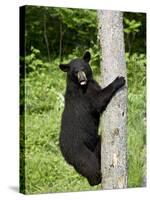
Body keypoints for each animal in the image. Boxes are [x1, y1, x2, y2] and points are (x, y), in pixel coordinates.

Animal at [58, 51, 125, 186]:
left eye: (84, 68)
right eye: (75, 72)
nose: (82, 79)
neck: (82, 86)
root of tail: (63, 153)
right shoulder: (84, 96)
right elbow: (98, 100)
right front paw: (119, 80)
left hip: (91, 144)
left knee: (97, 144)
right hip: (78, 151)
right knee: (89, 165)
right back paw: (96, 178)